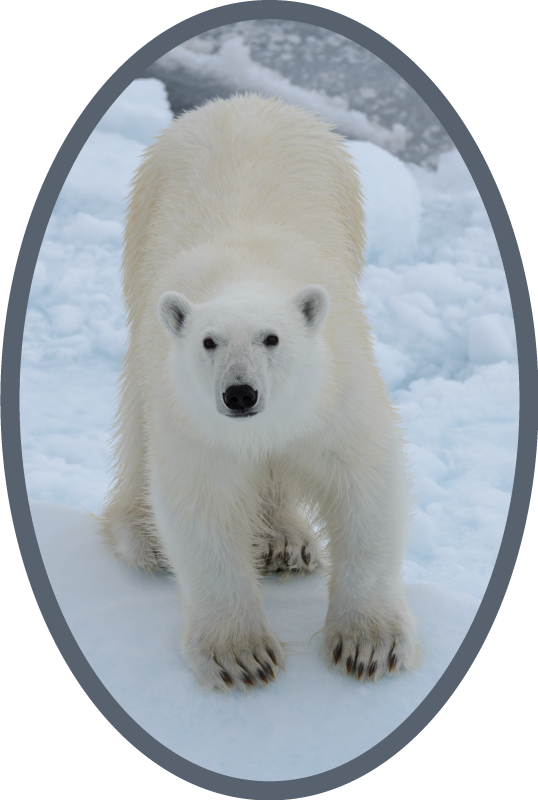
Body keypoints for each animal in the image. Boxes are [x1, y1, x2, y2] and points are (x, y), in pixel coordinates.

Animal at [100, 93, 417, 690]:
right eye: (209, 341)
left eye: (272, 338)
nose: (240, 395)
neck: (244, 269)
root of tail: (241, 100)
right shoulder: (192, 418)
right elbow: (201, 507)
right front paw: (240, 656)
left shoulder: (334, 395)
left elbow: (364, 483)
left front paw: (369, 644)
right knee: (135, 420)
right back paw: (144, 536)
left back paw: (286, 542)